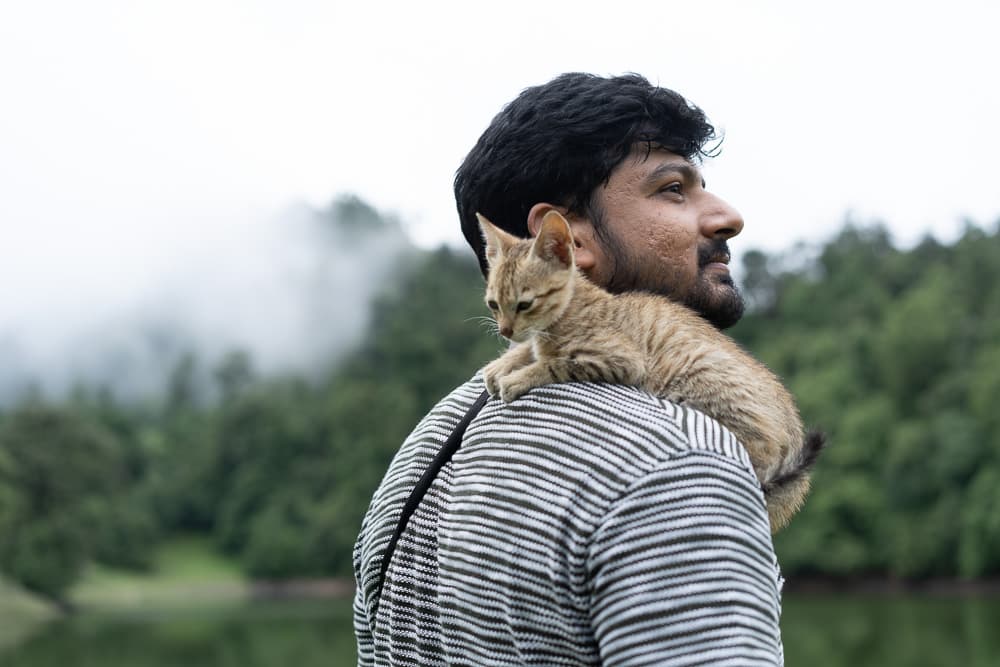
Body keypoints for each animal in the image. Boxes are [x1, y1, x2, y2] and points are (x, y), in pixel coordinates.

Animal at [480, 209, 824, 532]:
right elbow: (533, 350)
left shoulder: (621, 359)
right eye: (493, 304)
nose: (505, 330)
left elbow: (555, 363)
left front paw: (516, 377)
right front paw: (502, 365)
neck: (572, 306)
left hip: (700, 372)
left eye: (525, 304)